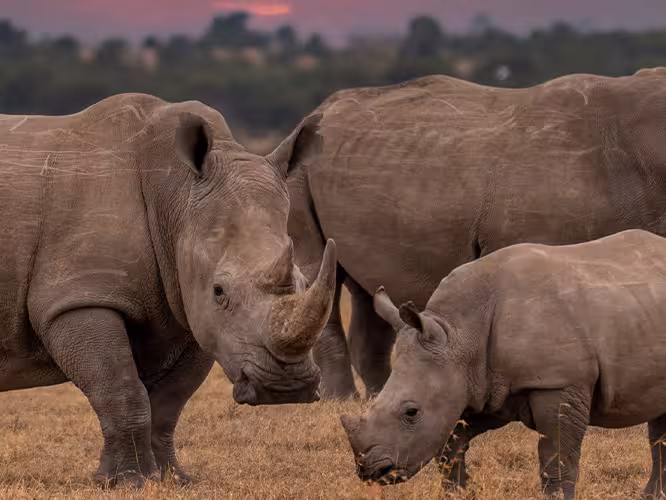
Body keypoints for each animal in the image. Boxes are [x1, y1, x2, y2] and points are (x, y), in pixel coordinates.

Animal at [0, 93, 336, 486]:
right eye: (219, 291)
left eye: (303, 282)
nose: (286, 387)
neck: (176, 196)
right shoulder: (76, 298)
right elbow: (120, 388)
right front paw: (126, 482)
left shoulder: (187, 304)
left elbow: (169, 402)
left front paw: (169, 479)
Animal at [286, 67, 666, 399]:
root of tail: (317, 109)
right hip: (298, 168)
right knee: (321, 269)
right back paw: (341, 401)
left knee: (368, 285)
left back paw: (377, 396)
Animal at [340, 229, 666, 499]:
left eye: (411, 412)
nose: (370, 471)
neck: (459, 332)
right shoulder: (480, 385)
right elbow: (450, 447)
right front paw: (456, 493)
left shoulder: (558, 382)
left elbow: (557, 457)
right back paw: (652, 496)